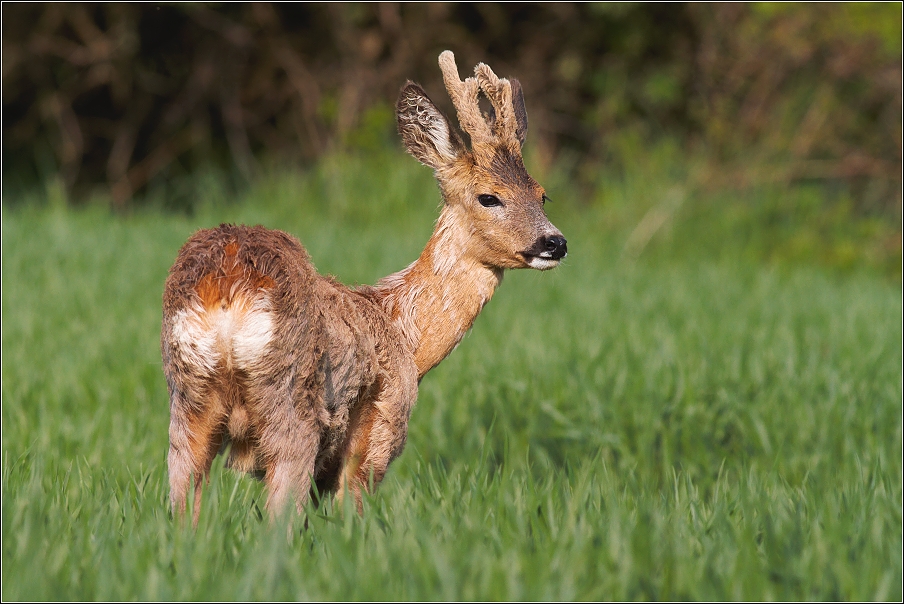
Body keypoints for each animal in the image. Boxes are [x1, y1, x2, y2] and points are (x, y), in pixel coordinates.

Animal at [162, 52, 564, 524]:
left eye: (542, 194)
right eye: (489, 197)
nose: (555, 243)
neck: (405, 332)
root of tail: (227, 283)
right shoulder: (381, 425)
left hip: (187, 395)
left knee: (183, 499)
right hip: (291, 401)